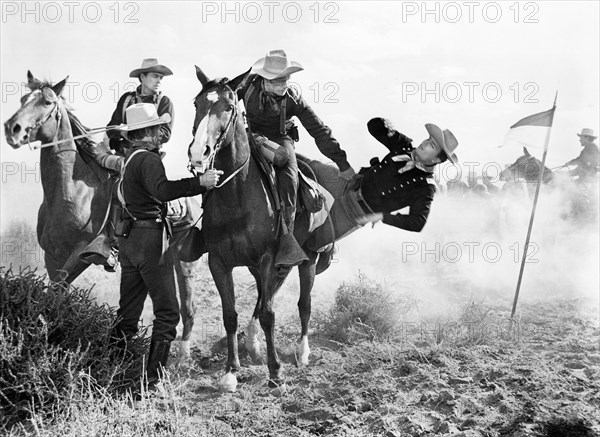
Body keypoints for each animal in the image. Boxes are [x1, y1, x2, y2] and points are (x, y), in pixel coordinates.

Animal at [2, 71, 202, 358]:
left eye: (47, 102)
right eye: (22, 99)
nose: (12, 129)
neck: (70, 191)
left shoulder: (80, 254)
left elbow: (56, 293)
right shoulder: (52, 258)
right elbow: (52, 296)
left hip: (184, 259)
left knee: (188, 307)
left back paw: (183, 354)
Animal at [188, 67, 328, 392]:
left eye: (229, 106)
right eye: (196, 104)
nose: (199, 153)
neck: (236, 197)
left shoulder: (266, 258)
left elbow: (269, 314)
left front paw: (275, 372)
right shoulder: (219, 263)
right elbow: (230, 314)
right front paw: (230, 371)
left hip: (309, 259)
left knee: (303, 303)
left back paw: (302, 352)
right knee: (267, 296)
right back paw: (253, 345)